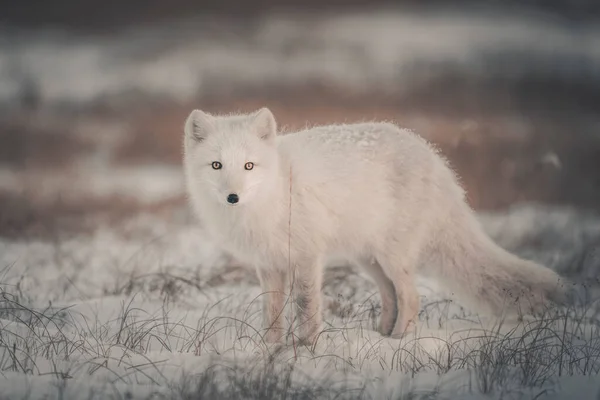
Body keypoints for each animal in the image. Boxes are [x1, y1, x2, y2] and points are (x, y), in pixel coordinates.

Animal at [183, 108, 568, 344]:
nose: (232, 197)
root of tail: (435, 159)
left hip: (392, 256)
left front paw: (305, 349)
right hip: (369, 260)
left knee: (411, 297)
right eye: (217, 165)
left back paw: (399, 342)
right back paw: (381, 336)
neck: (275, 193)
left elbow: (306, 307)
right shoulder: (269, 264)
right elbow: (272, 312)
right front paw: (271, 349)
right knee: (392, 297)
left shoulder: (307, 257)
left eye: (249, 166)